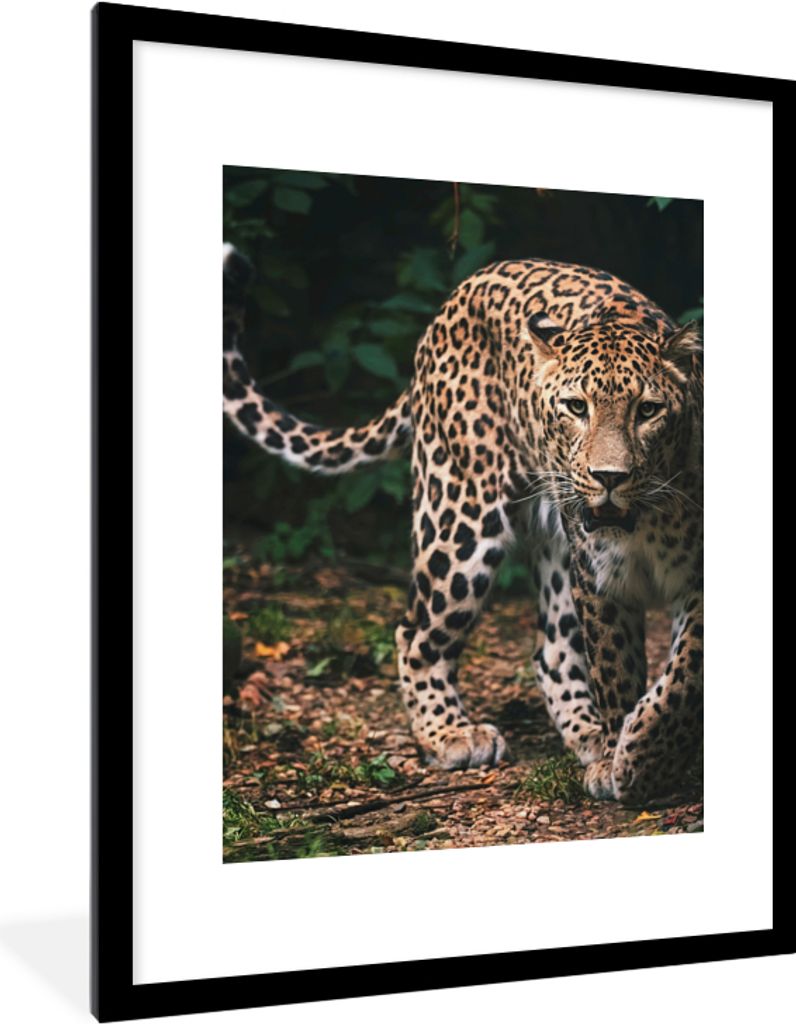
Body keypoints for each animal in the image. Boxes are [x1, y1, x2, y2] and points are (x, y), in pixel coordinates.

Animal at [223, 242, 703, 804]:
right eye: (575, 407)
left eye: (648, 410)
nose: (609, 477)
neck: (646, 518)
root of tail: (459, 293)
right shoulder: (599, 581)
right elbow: (617, 672)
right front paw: (624, 761)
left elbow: (684, 677)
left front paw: (641, 754)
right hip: (460, 517)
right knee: (415, 633)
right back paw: (451, 734)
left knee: (552, 649)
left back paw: (585, 735)